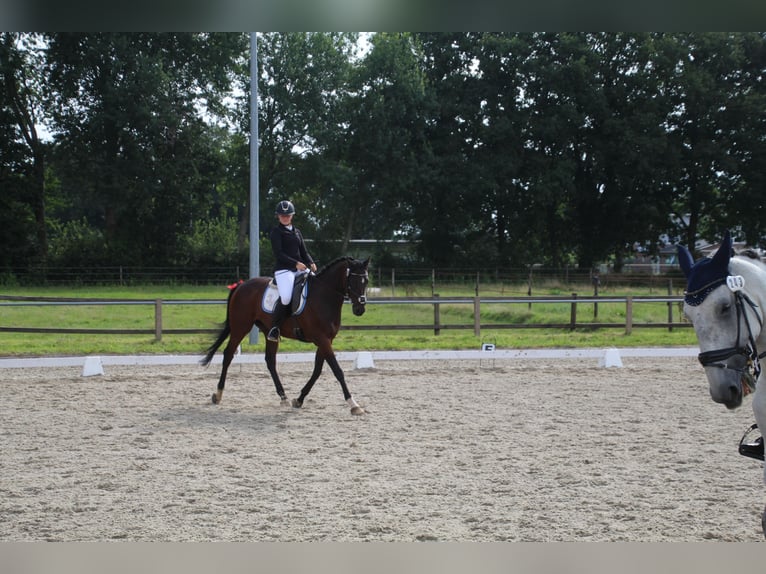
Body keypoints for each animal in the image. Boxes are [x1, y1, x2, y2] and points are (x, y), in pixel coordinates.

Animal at [201, 258, 372, 416]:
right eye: (353, 280)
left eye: (366, 281)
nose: (360, 309)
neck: (324, 296)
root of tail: (241, 285)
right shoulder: (322, 339)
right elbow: (337, 370)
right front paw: (354, 405)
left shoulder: (326, 340)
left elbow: (317, 371)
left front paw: (299, 399)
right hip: (240, 327)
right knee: (228, 354)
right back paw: (218, 394)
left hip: (268, 332)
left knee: (270, 361)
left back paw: (283, 397)